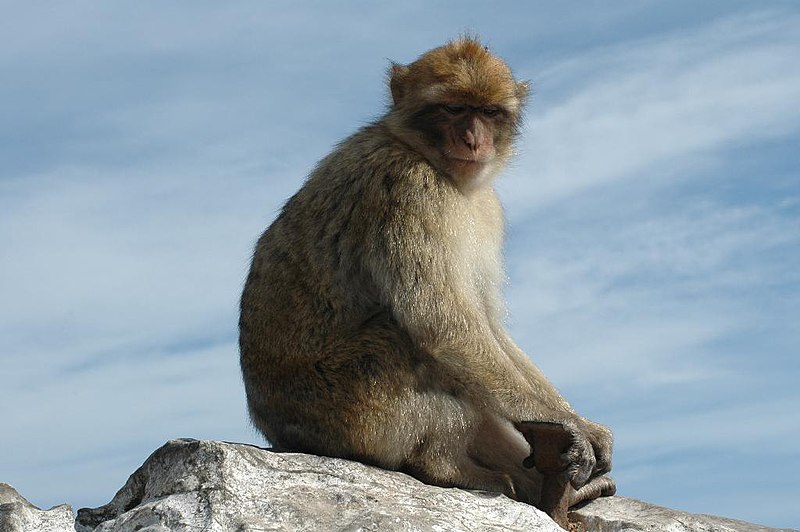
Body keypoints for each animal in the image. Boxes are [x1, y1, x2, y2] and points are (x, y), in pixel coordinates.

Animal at [241, 36, 616, 512]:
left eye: (488, 112)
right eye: (454, 108)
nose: (473, 139)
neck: (428, 159)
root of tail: (273, 429)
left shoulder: (485, 207)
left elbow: (486, 324)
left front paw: (576, 421)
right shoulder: (408, 188)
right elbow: (443, 325)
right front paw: (562, 421)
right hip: (341, 415)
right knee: (398, 340)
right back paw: (444, 464)